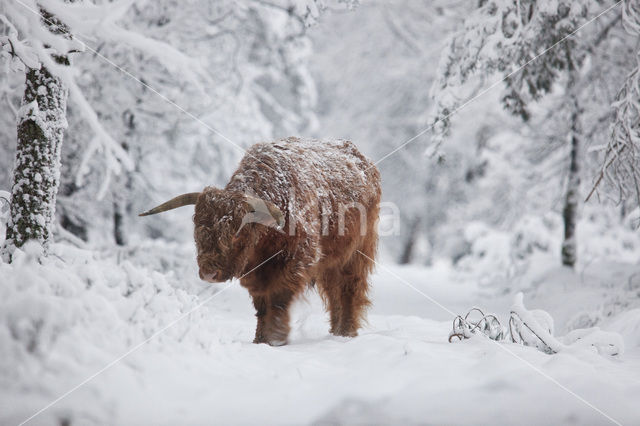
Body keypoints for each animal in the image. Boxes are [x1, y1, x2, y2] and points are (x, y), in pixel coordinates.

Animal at [140, 137, 380, 346]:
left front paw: (276, 338)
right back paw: (336, 331)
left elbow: (278, 300)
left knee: (349, 290)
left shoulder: (296, 261)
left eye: (236, 233)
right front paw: (260, 339)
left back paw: (346, 333)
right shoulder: (255, 272)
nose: (209, 273)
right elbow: (262, 305)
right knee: (333, 293)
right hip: (331, 262)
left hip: (356, 254)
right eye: (198, 229)